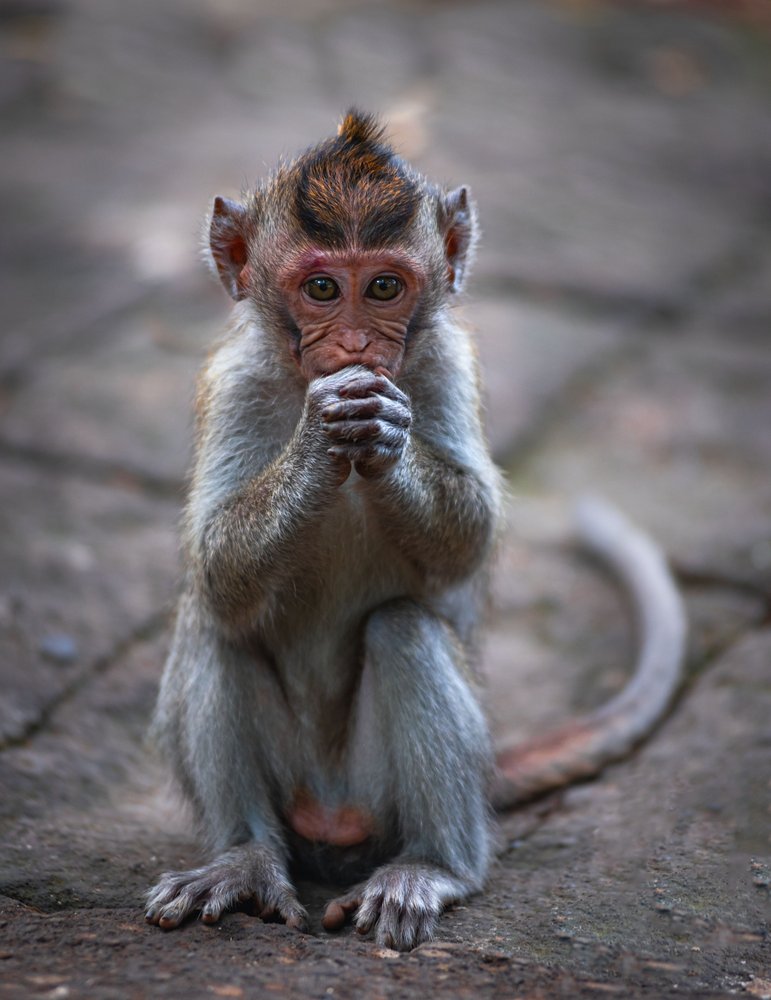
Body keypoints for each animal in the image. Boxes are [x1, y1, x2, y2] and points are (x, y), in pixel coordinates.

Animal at [144, 111, 687, 951]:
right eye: (323, 288)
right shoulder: (234, 380)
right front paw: (319, 438)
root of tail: (330, 814)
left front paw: (386, 437)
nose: (357, 349)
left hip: (381, 796)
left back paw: (433, 868)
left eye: (384, 287)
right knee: (213, 622)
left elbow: (473, 534)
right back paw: (242, 861)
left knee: (404, 629)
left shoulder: (446, 364)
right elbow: (212, 566)